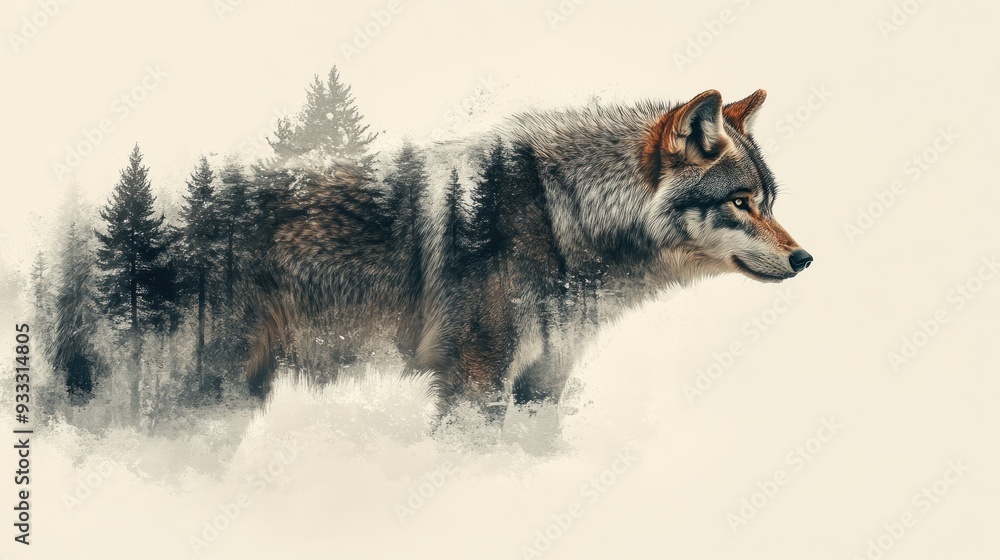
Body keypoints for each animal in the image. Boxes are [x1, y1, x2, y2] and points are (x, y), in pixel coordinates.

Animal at [243, 89, 813, 425]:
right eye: (739, 202)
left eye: (768, 202)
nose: (804, 259)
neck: (564, 216)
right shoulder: (476, 380)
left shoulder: (545, 380)